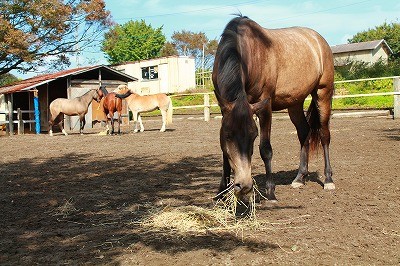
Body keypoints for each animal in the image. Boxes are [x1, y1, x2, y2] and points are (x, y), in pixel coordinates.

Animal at [212, 15, 334, 201]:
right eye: (228, 135)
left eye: (254, 135)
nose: (244, 185)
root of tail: (319, 40)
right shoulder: (225, 109)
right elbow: (225, 153)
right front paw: (221, 192)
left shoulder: (264, 105)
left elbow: (265, 149)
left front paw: (270, 191)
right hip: (295, 103)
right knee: (304, 132)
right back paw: (300, 177)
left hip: (323, 93)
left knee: (324, 134)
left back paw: (328, 179)